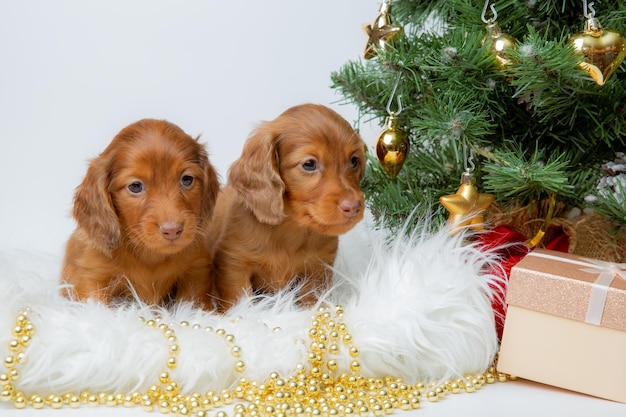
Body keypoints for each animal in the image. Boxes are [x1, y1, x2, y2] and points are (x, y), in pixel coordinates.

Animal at [61, 118, 219, 308]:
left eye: (187, 179)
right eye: (136, 186)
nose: (172, 230)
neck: (149, 255)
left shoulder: (196, 271)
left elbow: (192, 303)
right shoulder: (92, 276)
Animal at [211, 103, 366, 310]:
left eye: (354, 160)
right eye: (309, 164)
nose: (354, 206)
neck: (289, 229)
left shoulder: (319, 266)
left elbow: (313, 298)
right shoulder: (234, 263)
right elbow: (238, 298)